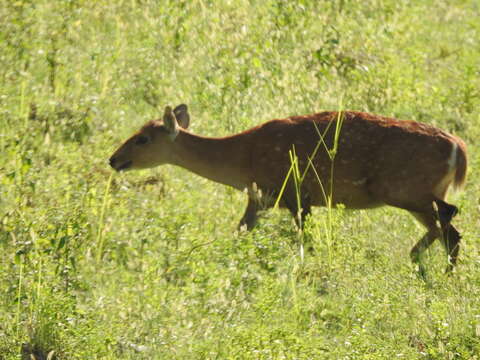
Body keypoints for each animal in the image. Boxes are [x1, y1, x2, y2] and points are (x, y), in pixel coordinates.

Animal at [109, 104, 464, 270]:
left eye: (142, 139)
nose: (114, 159)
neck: (242, 158)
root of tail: (459, 149)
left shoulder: (296, 194)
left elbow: (305, 240)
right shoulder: (261, 198)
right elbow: (240, 232)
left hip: (404, 188)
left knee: (450, 219)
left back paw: (432, 265)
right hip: (414, 193)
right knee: (447, 227)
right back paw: (426, 263)